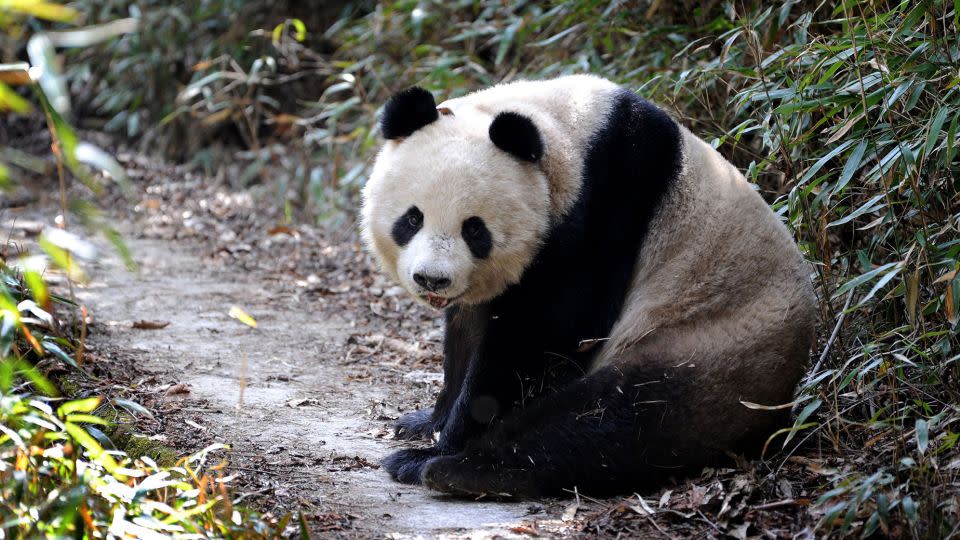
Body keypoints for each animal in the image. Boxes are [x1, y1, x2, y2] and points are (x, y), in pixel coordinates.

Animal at [360, 76, 816, 498]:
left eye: (474, 230)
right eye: (412, 218)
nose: (433, 279)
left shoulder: (606, 206)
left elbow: (541, 337)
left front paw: (440, 444)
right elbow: (468, 331)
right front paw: (425, 422)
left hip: (709, 344)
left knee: (612, 417)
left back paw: (451, 469)